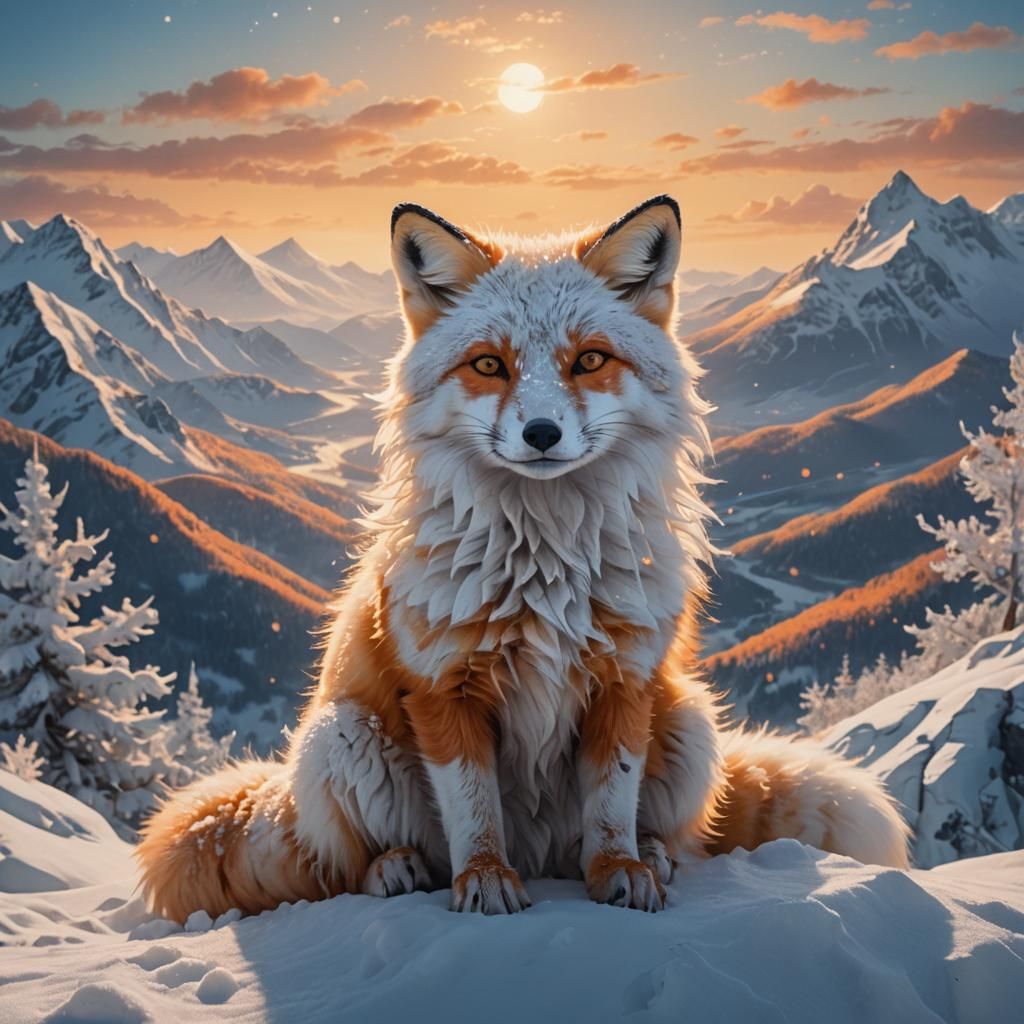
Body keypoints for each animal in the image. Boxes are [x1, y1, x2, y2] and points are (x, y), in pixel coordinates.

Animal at [137, 196, 909, 921]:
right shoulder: (445, 688)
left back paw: (651, 855)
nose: (542, 432)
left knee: (631, 835)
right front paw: (483, 882)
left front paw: (619, 872)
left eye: (589, 360)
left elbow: (611, 806)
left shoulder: (624, 682)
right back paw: (395, 869)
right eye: (489, 364)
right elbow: (474, 812)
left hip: (688, 720)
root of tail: (541, 856)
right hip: (340, 733)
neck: (545, 568)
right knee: (346, 864)